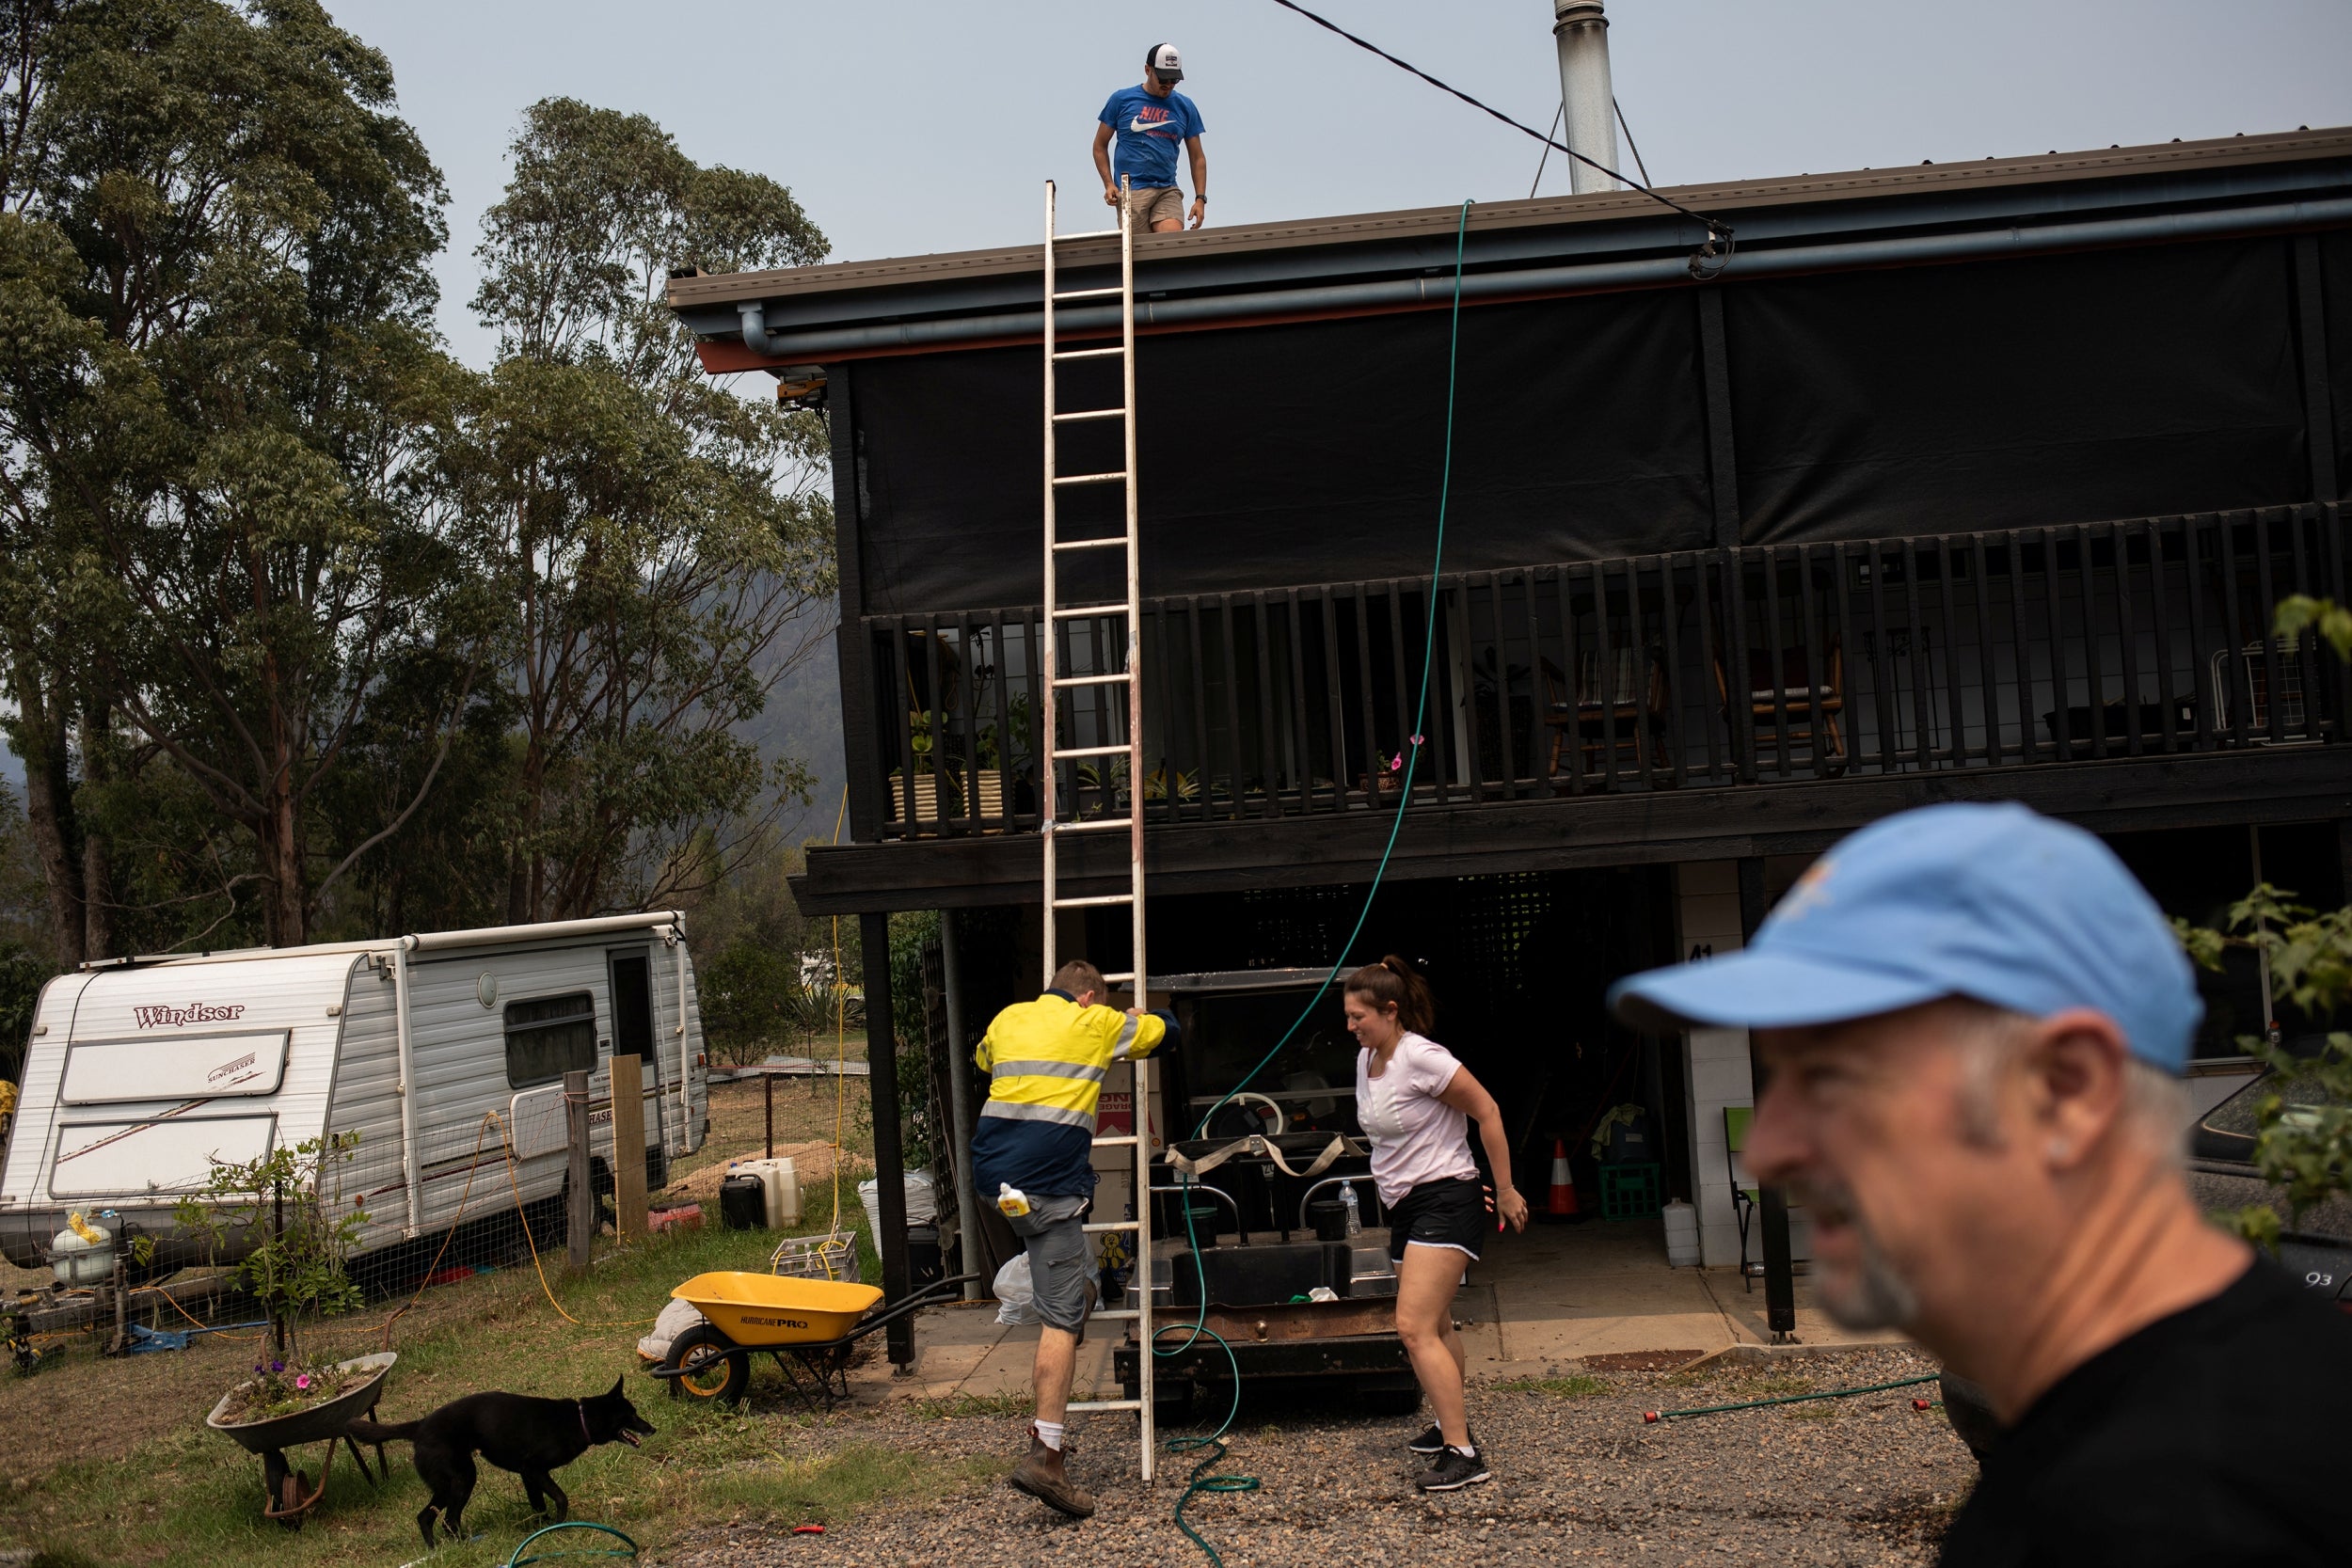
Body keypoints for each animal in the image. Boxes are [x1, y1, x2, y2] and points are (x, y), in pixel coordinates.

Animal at [343, 1372, 654, 1542]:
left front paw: (541, 1529)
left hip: (445, 1485)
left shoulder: (528, 1476)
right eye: (632, 1414)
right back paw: (464, 1544)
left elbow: (538, 1504)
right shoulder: (534, 1468)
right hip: (462, 1478)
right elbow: (561, 1498)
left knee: (426, 1518)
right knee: (448, 1521)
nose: (653, 1428)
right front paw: (558, 1525)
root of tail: (419, 1426)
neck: (580, 1420)